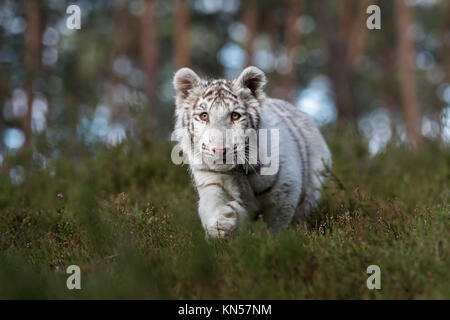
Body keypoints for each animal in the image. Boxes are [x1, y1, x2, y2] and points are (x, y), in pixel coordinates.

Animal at [171, 66, 330, 239]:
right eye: (204, 116)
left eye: (235, 116)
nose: (220, 150)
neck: (237, 170)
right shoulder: (210, 182)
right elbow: (213, 208)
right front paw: (221, 227)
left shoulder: (285, 188)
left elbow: (278, 222)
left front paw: (279, 241)